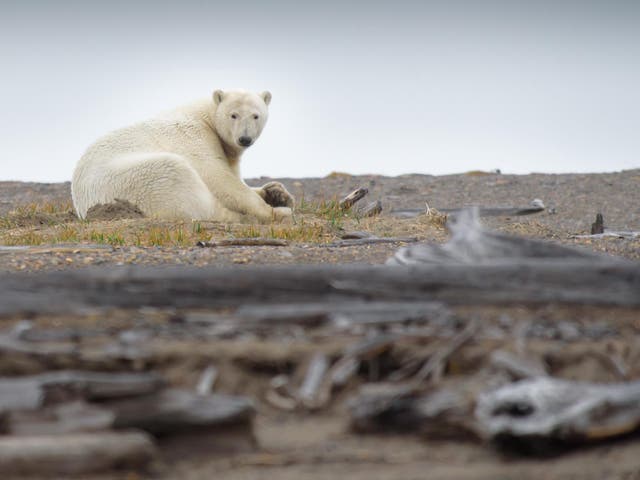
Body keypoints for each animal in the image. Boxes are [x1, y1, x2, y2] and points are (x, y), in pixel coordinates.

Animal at [72, 90, 296, 223]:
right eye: (234, 115)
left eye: (256, 115)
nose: (245, 138)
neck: (206, 117)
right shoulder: (195, 137)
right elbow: (219, 179)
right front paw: (271, 208)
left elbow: (233, 174)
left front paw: (276, 192)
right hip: (135, 180)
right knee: (189, 190)